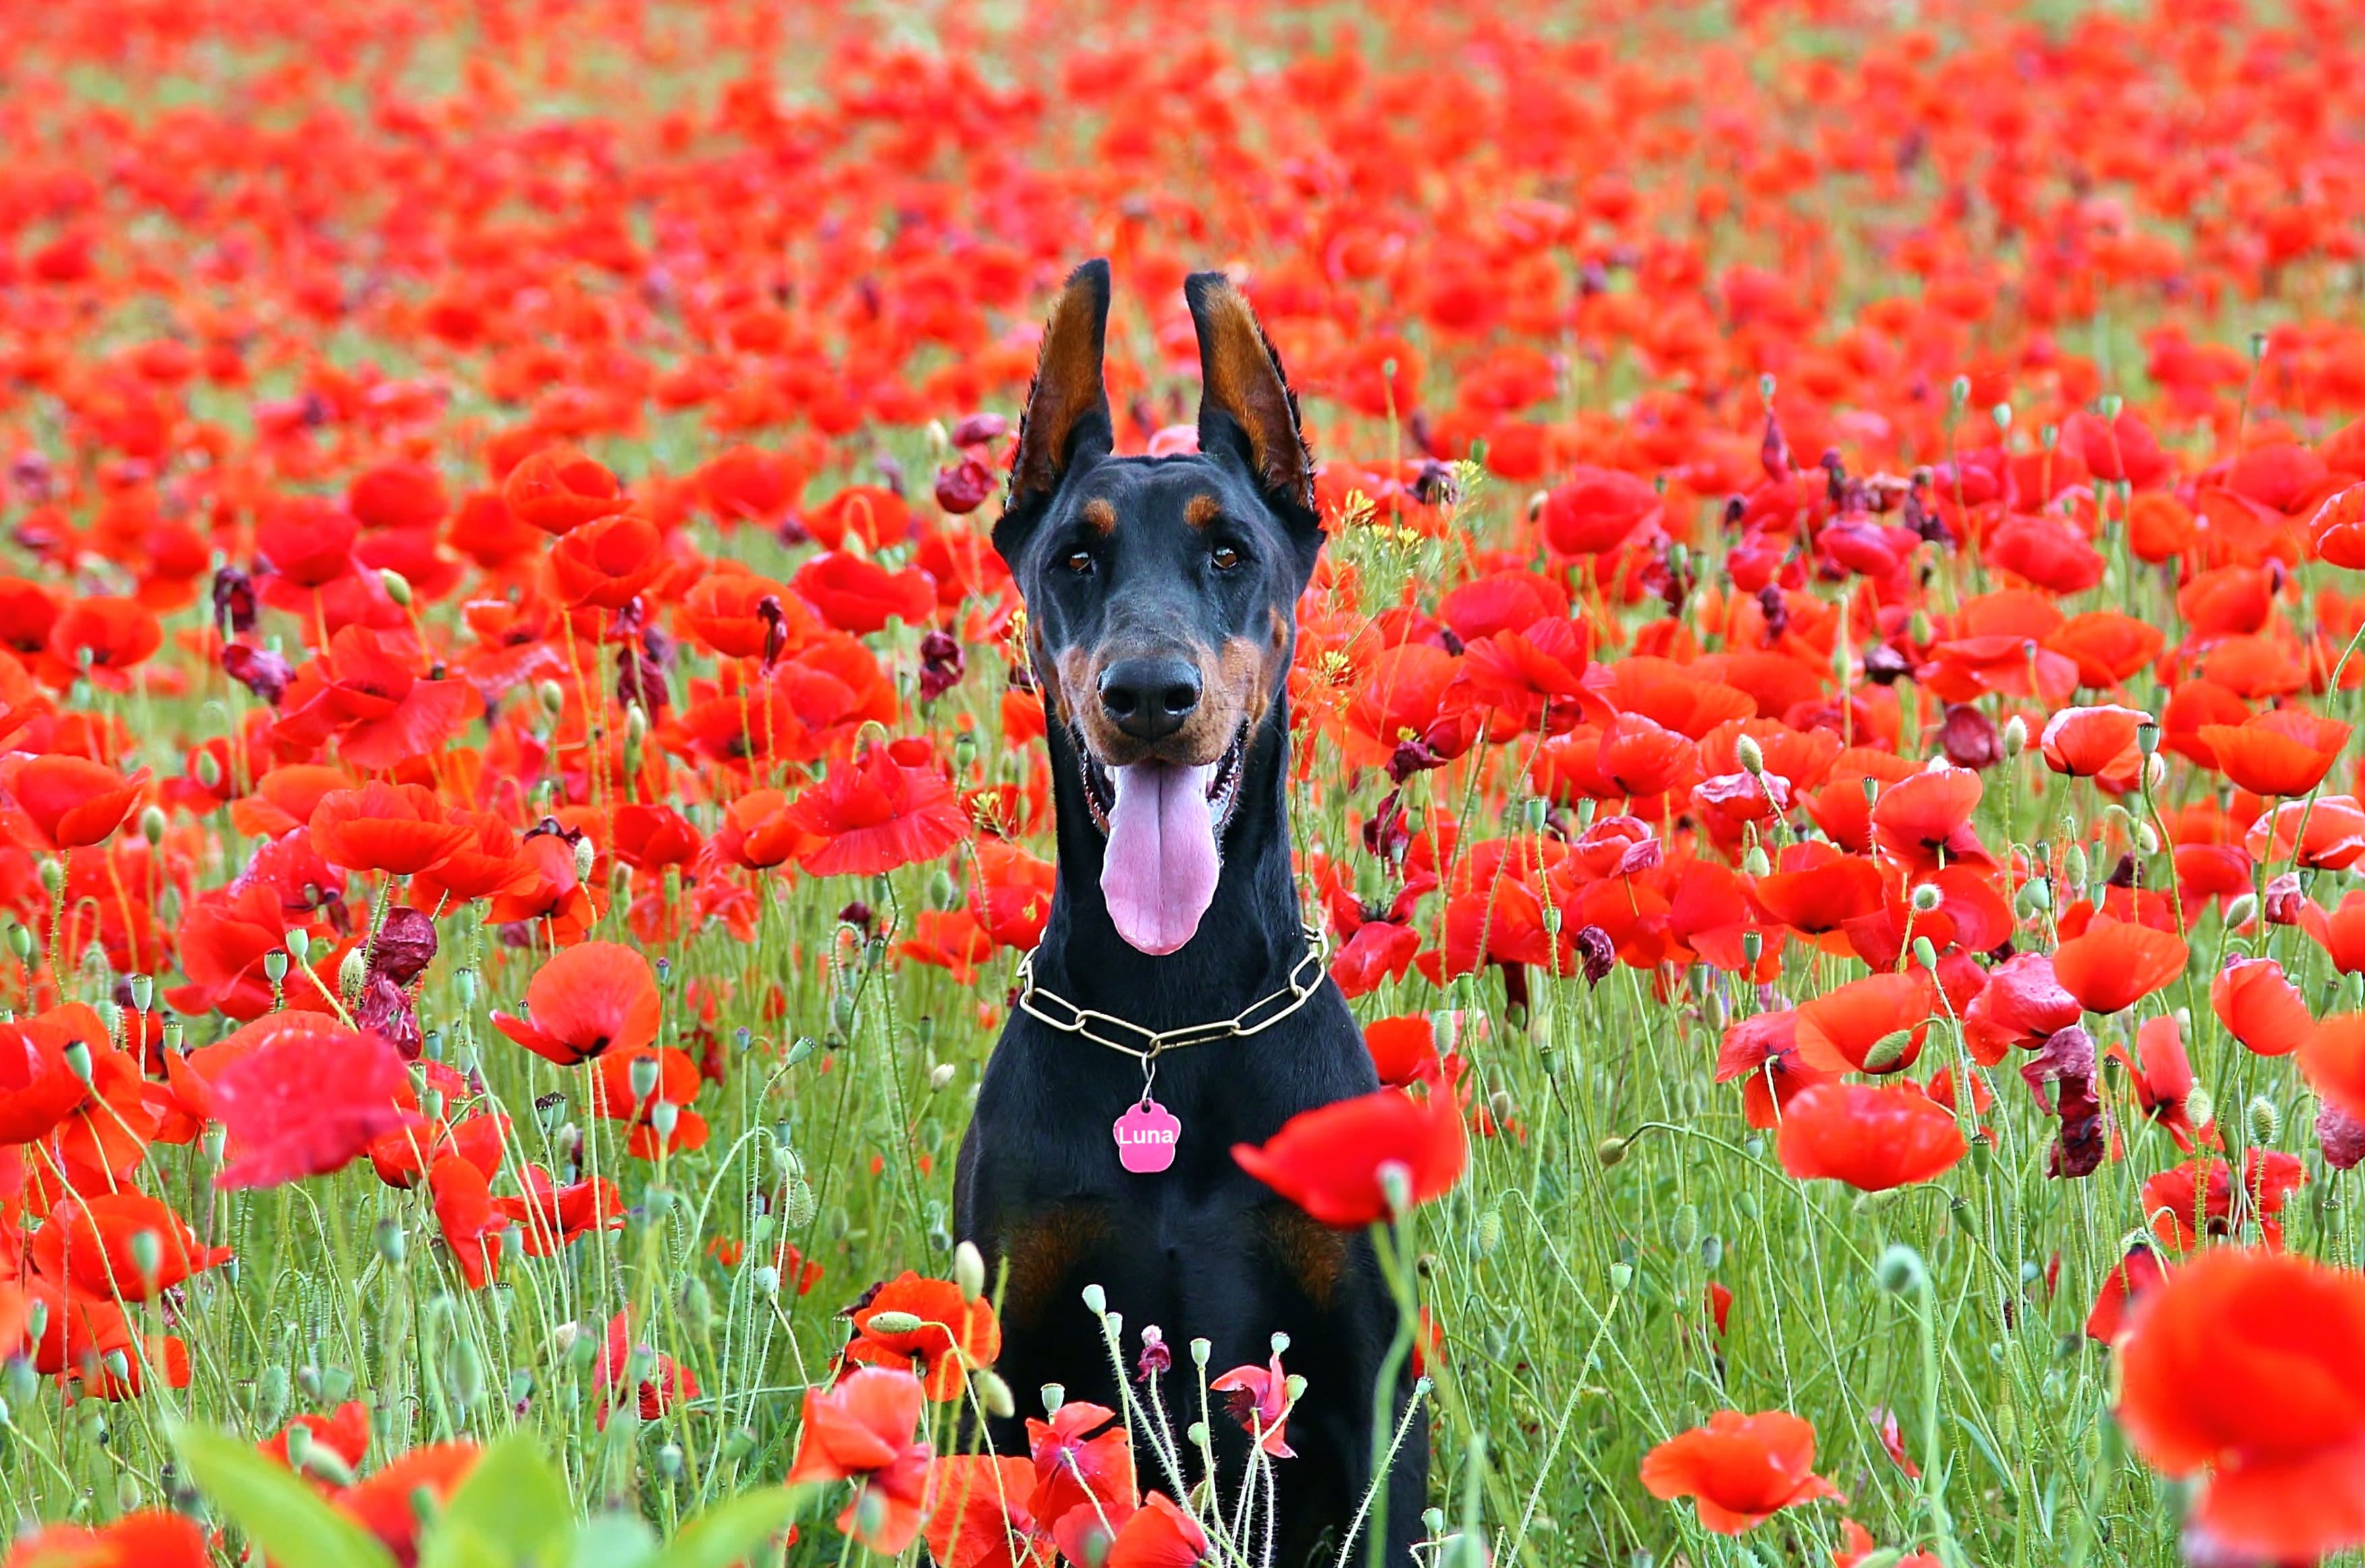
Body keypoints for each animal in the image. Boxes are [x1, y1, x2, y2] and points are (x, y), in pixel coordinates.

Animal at [955, 260, 1419, 1568]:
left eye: (1228, 552)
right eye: (1074, 556)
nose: (1150, 694)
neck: (1172, 1016)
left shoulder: (1369, 1382)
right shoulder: (1009, 1368)